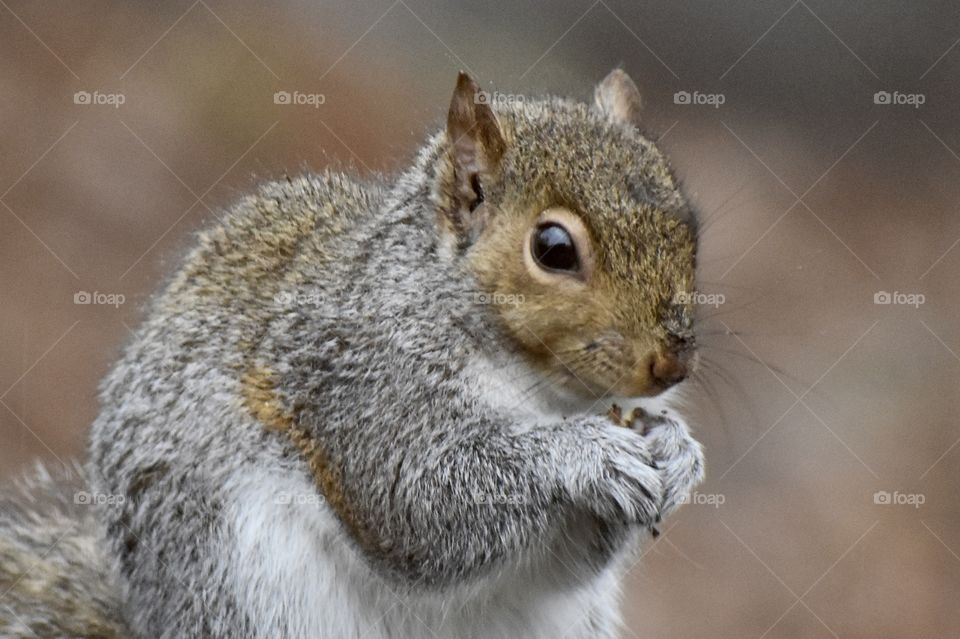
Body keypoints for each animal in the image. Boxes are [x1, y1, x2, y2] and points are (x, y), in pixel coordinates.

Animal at [0, 70, 704, 639]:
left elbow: (564, 562)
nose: (672, 366)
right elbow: (415, 500)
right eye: (553, 248)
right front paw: (584, 455)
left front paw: (676, 449)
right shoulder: (355, 380)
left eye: (689, 228)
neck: (539, 388)